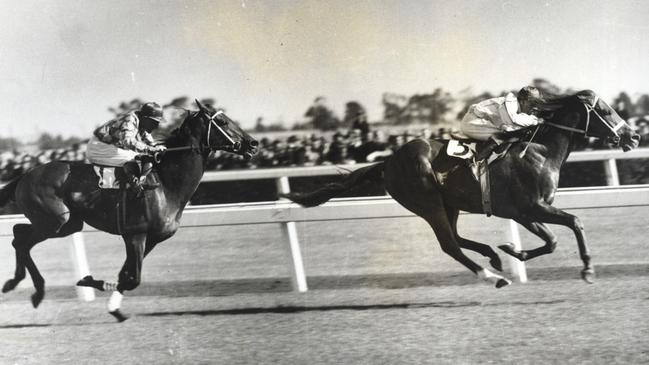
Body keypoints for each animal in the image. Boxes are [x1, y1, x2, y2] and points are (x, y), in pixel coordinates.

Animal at [0, 99, 258, 318]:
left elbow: (126, 274)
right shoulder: (135, 234)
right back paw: (34, 289)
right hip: (55, 221)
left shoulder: (152, 238)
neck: (166, 184)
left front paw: (113, 307)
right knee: (21, 240)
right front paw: (91, 282)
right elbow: (133, 278)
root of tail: (25, 175)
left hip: (67, 223)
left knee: (18, 233)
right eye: (222, 122)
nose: (253, 144)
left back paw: (21, 283)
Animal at [286, 89, 640, 286]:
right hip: (427, 203)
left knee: (455, 238)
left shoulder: (523, 212)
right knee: (449, 245)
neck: (540, 150)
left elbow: (551, 241)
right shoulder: (531, 207)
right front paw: (588, 270)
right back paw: (492, 277)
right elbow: (574, 223)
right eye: (605, 110)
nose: (634, 136)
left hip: (449, 204)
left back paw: (493, 257)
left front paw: (513, 250)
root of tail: (387, 162)